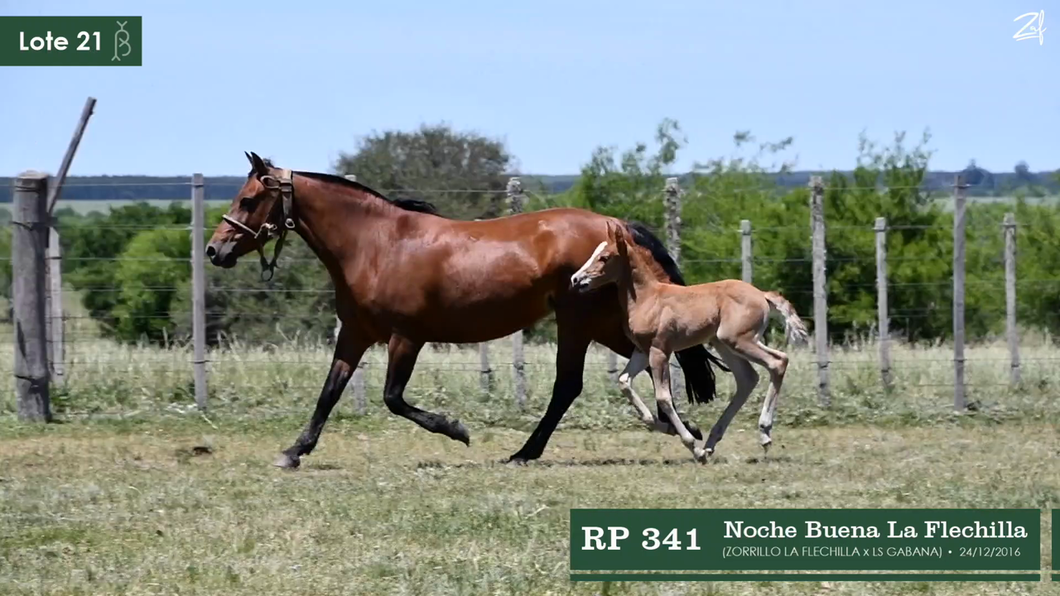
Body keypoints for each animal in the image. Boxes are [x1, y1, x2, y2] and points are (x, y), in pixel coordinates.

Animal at [572, 220, 809, 462]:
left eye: (604, 257)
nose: (576, 280)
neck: (648, 297)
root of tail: (762, 295)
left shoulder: (659, 351)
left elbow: (663, 397)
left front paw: (692, 445)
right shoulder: (642, 351)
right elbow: (624, 381)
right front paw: (663, 427)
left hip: (739, 340)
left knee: (777, 361)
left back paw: (763, 433)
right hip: (723, 343)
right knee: (747, 379)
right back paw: (712, 442)